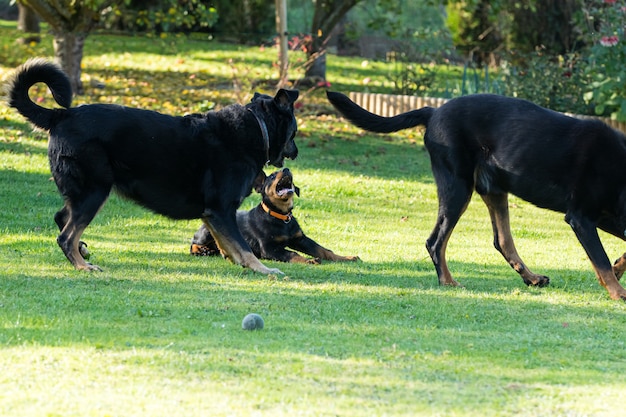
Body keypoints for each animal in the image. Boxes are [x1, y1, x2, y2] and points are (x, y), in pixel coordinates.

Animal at [4, 57, 298, 272]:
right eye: (294, 131)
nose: (295, 152)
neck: (257, 128)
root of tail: (61, 115)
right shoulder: (221, 209)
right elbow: (244, 248)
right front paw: (263, 270)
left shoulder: (213, 214)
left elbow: (229, 245)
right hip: (95, 190)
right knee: (66, 235)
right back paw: (82, 265)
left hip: (84, 191)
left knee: (62, 218)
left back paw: (82, 252)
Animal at [190, 166, 358, 264]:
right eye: (271, 176)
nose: (286, 168)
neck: (281, 216)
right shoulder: (269, 248)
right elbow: (291, 253)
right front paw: (308, 260)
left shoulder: (301, 239)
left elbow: (324, 250)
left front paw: (347, 257)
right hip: (207, 232)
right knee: (193, 243)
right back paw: (202, 250)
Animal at [324, 90, 624, 300]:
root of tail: (434, 111)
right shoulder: (581, 218)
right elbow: (601, 259)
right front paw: (618, 291)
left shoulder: (607, 218)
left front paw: (620, 268)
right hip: (457, 188)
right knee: (436, 242)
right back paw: (448, 282)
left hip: (494, 190)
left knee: (502, 241)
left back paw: (531, 278)